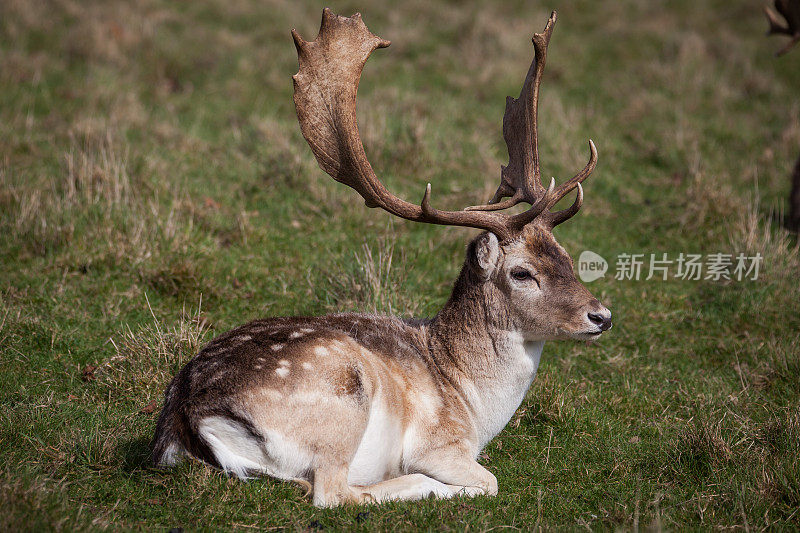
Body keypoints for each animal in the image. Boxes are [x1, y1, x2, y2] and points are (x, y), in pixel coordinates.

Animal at [150, 9, 612, 508]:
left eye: (566, 256)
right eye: (522, 273)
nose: (601, 315)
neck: (470, 403)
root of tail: (187, 417)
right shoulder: (441, 442)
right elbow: (488, 480)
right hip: (342, 395)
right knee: (332, 491)